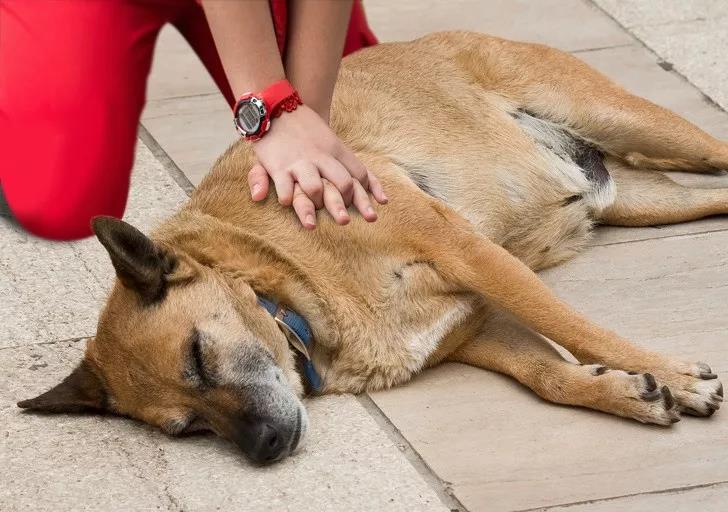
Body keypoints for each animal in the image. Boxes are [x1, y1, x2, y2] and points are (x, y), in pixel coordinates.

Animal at [19, 32, 728, 464]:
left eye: (198, 356)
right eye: (187, 427)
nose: (266, 447)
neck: (283, 280)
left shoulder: (471, 254)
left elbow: (574, 327)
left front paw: (670, 374)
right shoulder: (474, 328)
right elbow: (547, 375)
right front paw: (626, 392)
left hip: (634, 122)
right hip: (654, 202)